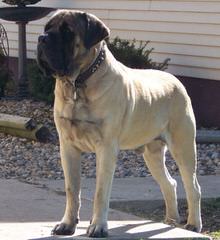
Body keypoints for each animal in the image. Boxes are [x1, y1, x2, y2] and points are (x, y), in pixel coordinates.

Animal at [37, 9, 202, 238]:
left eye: (67, 31)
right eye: (47, 28)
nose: (41, 39)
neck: (78, 82)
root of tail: (176, 81)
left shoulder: (106, 148)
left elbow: (100, 192)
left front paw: (98, 226)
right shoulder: (67, 147)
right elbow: (72, 189)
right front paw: (67, 224)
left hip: (183, 147)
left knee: (192, 186)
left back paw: (193, 224)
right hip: (152, 153)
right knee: (169, 183)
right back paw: (170, 221)